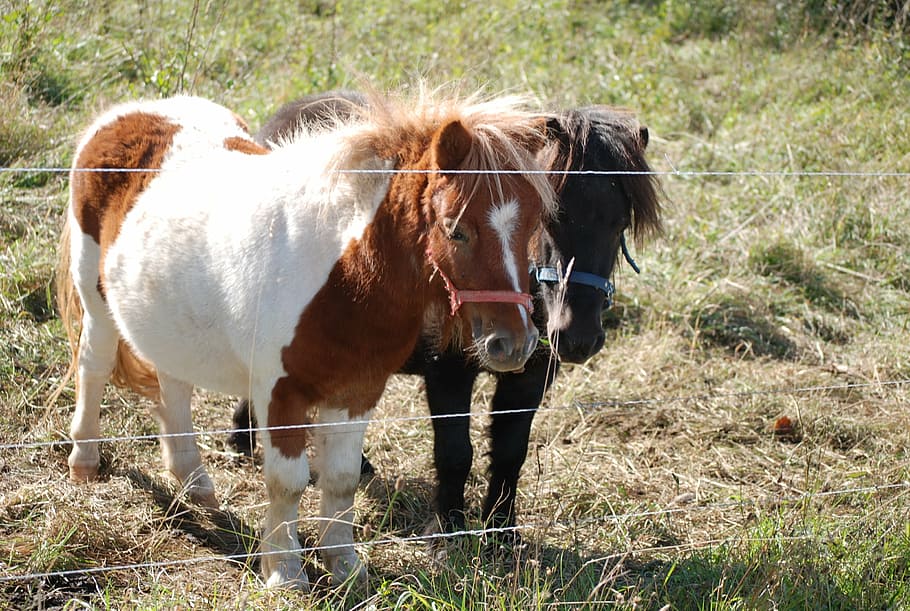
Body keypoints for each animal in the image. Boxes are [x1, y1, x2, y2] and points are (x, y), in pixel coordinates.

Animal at [55, 89, 558, 589]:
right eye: (456, 229)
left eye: (535, 225)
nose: (514, 343)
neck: (342, 274)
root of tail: (125, 114)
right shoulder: (281, 394)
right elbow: (289, 481)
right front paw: (284, 572)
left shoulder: (358, 392)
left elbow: (341, 478)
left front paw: (344, 566)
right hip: (97, 303)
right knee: (94, 368)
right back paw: (85, 461)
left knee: (173, 383)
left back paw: (194, 482)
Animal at [227, 91, 663, 545]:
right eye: (552, 217)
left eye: (620, 222)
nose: (578, 336)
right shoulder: (447, 372)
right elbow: (455, 453)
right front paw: (448, 530)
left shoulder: (530, 379)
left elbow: (511, 451)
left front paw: (501, 529)